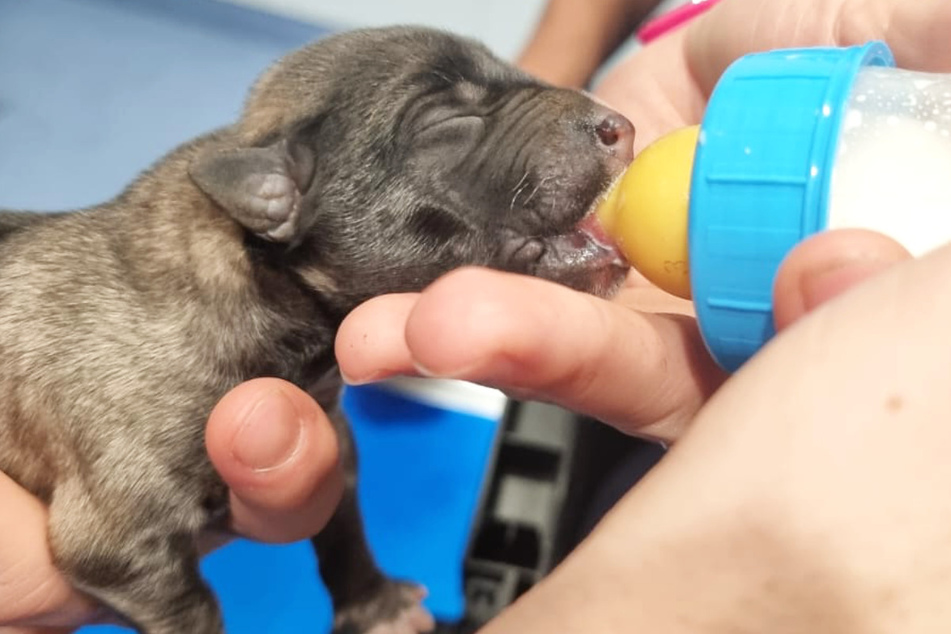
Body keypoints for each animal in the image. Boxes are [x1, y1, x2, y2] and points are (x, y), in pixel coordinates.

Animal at [0, 25, 632, 632]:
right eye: (447, 121)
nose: (620, 126)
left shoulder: (334, 439)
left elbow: (343, 526)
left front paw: (375, 605)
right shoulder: (122, 538)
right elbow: (194, 610)